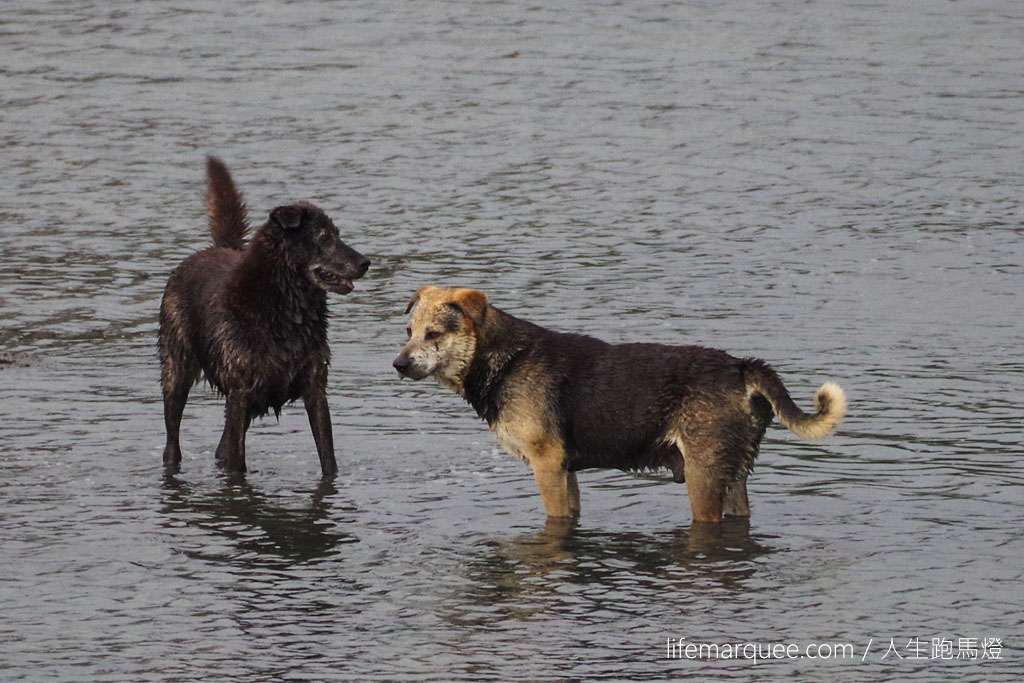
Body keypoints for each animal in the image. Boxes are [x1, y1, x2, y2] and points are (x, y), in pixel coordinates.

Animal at [391, 286, 847, 528]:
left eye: (434, 333)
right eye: (408, 331)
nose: (398, 364)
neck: (505, 360)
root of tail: (740, 366)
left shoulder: (547, 465)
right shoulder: (566, 471)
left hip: (703, 475)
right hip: (734, 473)